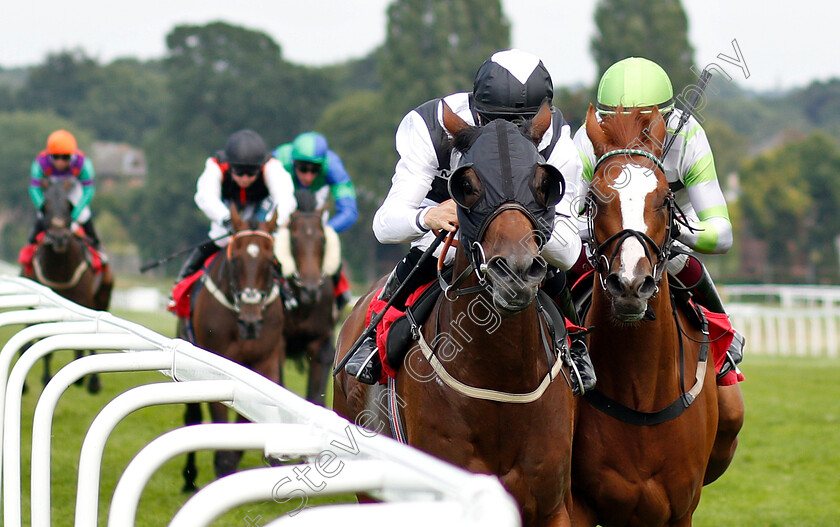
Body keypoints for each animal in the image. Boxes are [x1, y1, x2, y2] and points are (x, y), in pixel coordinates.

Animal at [22, 179, 113, 394]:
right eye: (45, 206)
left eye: (69, 206)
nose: (59, 237)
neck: (59, 269)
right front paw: (46, 378)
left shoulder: (84, 301)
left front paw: (87, 378)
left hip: (102, 296)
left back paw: (92, 381)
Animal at [179, 205, 284, 490]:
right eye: (235, 260)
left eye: (270, 262)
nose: (250, 322)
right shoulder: (218, 367)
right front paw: (224, 467)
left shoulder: (265, 362)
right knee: (192, 416)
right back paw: (189, 478)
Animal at [572, 105, 740, 524]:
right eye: (595, 198)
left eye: (665, 198)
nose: (631, 284)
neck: (642, 390)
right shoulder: (578, 503)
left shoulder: (681, 508)